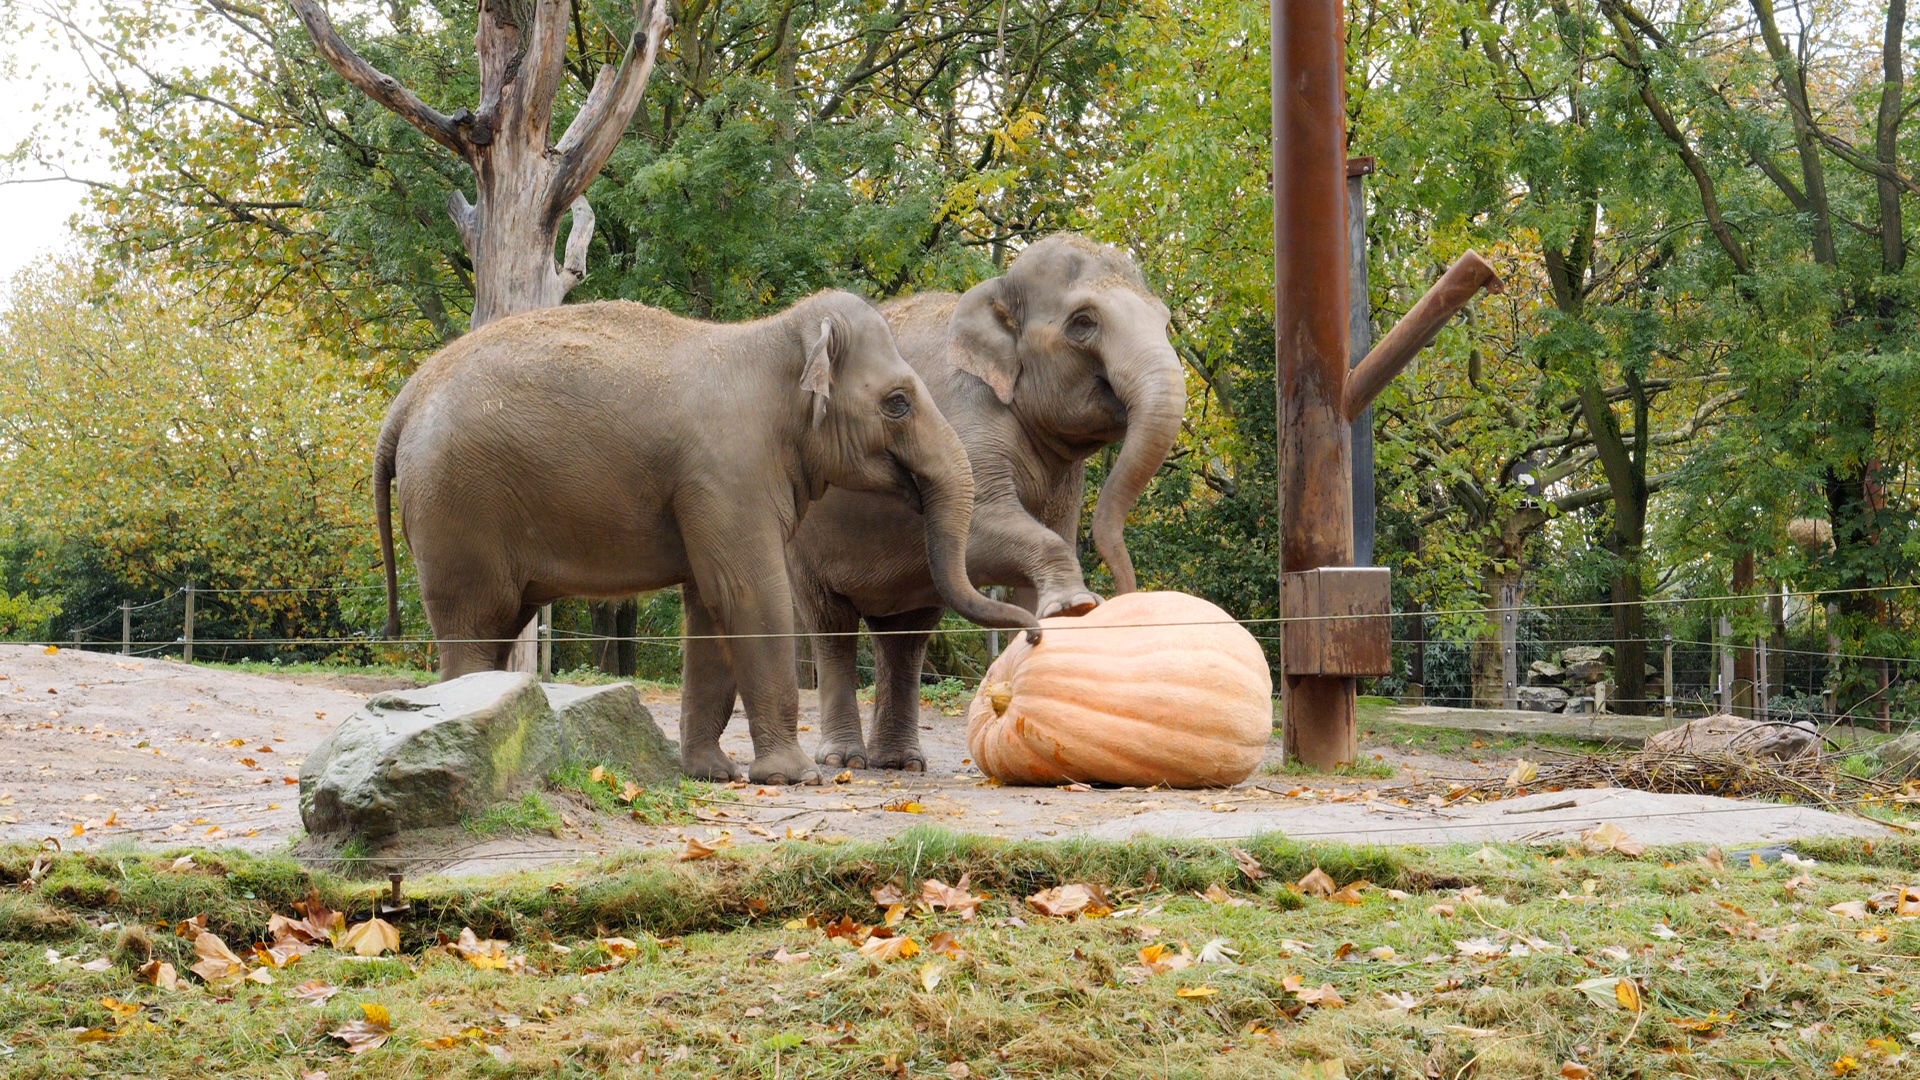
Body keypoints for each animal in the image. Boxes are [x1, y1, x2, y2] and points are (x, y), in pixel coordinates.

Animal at [374, 290, 1036, 787]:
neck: (770, 337)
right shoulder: (729, 474)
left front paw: (713, 774)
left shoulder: (712, 490)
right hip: (456, 508)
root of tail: (404, 399)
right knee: (474, 623)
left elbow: (709, 605)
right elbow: (748, 594)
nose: (1034, 631)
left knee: (498, 626)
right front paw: (797, 777)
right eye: (897, 403)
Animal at [783, 232, 1182, 768]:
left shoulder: (1061, 474)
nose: (1127, 596)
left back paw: (902, 763)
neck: (993, 289)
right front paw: (1077, 606)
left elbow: (1048, 539)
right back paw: (845, 762)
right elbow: (977, 532)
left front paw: (1049, 619)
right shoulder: (960, 414)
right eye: (1083, 323)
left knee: (904, 637)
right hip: (802, 540)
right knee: (832, 627)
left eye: (1165, 321)